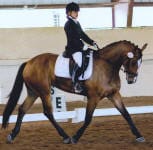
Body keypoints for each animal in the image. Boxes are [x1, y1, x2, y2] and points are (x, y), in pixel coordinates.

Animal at [1, 40, 147, 144]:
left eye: (140, 62)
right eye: (134, 61)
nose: (132, 79)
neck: (108, 65)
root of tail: (29, 62)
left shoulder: (114, 94)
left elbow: (126, 114)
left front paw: (139, 136)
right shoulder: (93, 97)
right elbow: (88, 118)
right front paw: (76, 137)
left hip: (34, 92)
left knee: (22, 109)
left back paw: (12, 135)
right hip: (44, 91)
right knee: (48, 112)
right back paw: (65, 137)